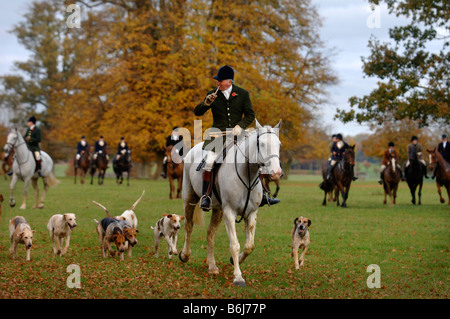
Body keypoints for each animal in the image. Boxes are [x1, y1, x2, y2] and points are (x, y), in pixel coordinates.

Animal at [178, 119, 282, 288]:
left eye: (278, 144)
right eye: (262, 144)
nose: (276, 173)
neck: (247, 174)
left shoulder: (251, 213)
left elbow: (249, 246)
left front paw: (235, 260)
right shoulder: (229, 213)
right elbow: (235, 245)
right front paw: (238, 277)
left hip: (217, 210)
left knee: (210, 233)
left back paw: (212, 266)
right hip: (189, 198)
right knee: (188, 226)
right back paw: (185, 255)